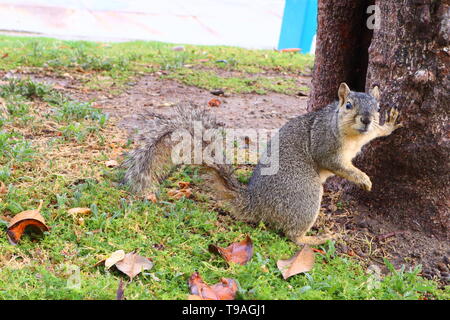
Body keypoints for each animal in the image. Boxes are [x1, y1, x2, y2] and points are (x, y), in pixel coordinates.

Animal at [121, 82, 402, 245]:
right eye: (348, 105)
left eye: (378, 107)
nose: (367, 119)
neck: (353, 136)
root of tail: (254, 203)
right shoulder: (325, 145)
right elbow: (337, 165)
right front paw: (363, 179)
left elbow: (376, 134)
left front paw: (389, 125)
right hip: (306, 194)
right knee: (293, 236)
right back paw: (318, 239)